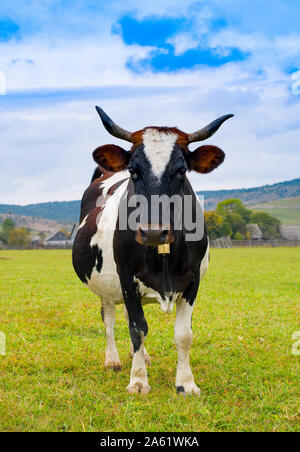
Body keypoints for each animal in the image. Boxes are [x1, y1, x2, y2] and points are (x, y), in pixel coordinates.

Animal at [72, 107, 232, 396]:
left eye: (182, 170)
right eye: (133, 170)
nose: (154, 232)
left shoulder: (193, 281)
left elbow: (183, 333)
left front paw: (186, 383)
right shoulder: (126, 277)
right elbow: (137, 328)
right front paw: (138, 380)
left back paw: (142, 357)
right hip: (105, 284)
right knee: (109, 318)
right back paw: (113, 360)